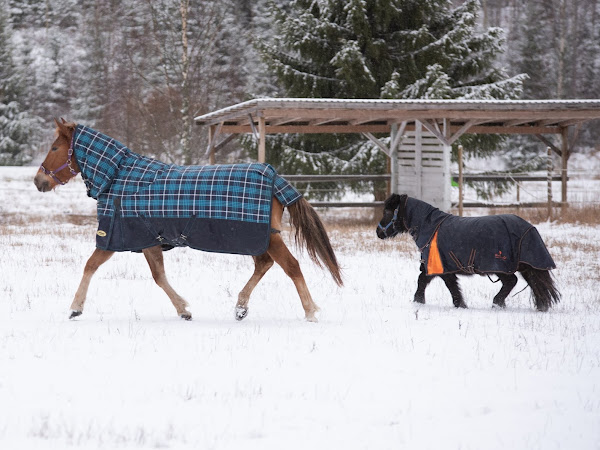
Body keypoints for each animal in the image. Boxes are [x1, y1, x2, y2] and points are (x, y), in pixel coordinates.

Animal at [35, 119, 342, 322]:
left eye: (54, 148)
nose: (38, 181)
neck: (119, 177)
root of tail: (274, 176)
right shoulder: (149, 240)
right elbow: (159, 277)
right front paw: (183, 310)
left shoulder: (114, 237)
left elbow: (90, 266)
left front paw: (75, 307)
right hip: (262, 239)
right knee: (265, 264)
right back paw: (241, 307)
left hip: (268, 237)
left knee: (291, 267)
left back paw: (310, 312)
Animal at [378, 193, 560, 312]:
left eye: (387, 212)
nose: (378, 232)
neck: (430, 227)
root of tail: (529, 228)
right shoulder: (438, 267)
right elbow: (428, 282)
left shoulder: (440, 267)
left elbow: (437, 284)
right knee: (525, 283)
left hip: (501, 266)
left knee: (513, 282)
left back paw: (497, 303)